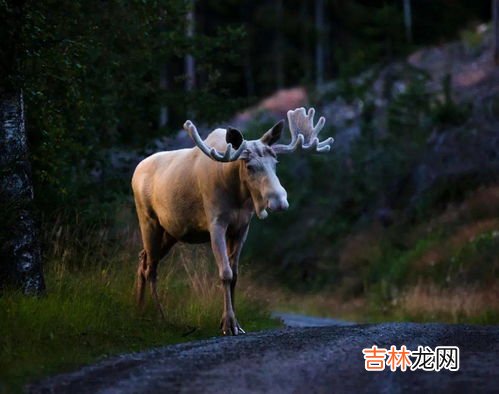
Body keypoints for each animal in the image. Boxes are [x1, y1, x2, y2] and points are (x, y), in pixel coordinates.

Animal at [132, 107, 336, 336]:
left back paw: (139, 310)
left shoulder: (242, 227)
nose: (279, 201)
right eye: (249, 166)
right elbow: (226, 273)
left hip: (170, 232)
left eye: (275, 163)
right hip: (148, 221)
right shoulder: (216, 224)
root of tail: (135, 171)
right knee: (150, 268)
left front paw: (235, 322)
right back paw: (159, 316)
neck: (237, 193)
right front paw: (229, 325)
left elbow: (236, 274)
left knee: (143, 259)